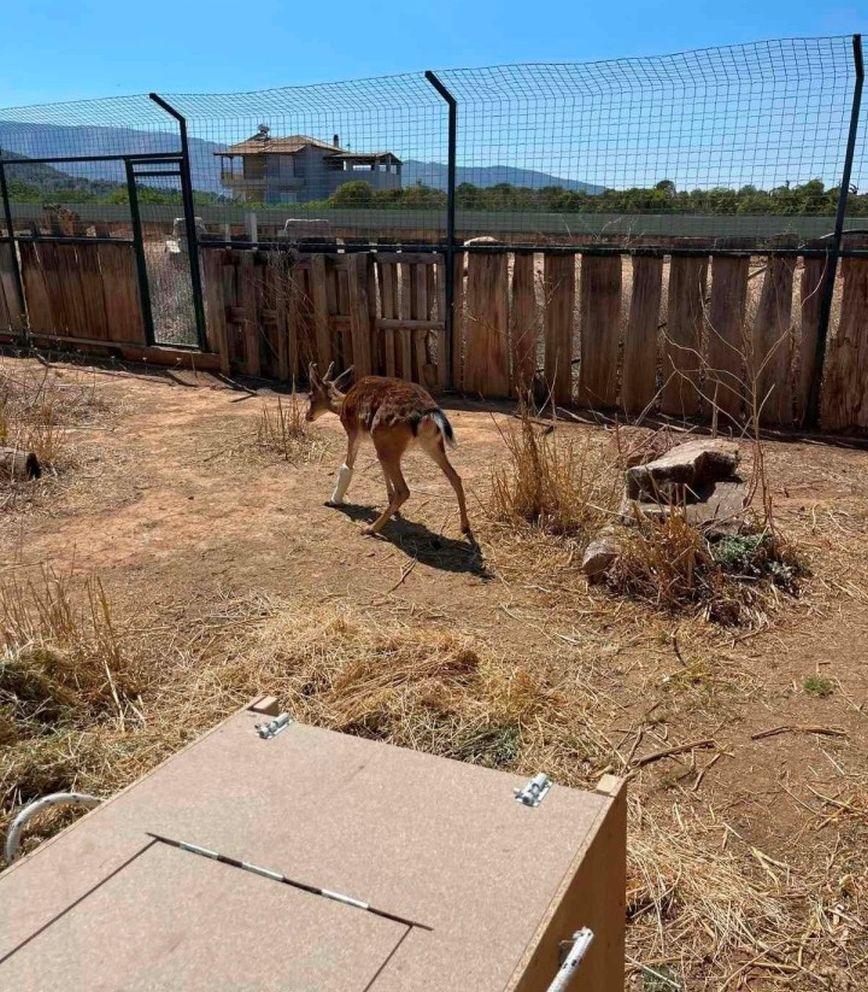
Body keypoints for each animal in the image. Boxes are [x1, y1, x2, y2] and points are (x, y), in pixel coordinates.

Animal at [305, 363, 471, 538]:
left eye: (310, 395)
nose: (307, 416)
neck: (342, 403)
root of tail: (427, 413)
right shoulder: (376, 443)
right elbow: (381, 468)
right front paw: (391, 502)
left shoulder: (353, 432)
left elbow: (347, 466)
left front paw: (333, 501)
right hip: (430, 444)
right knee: (455, 477)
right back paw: (465, 526)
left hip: (389, 442)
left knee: (404, 490)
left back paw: (370, 528)